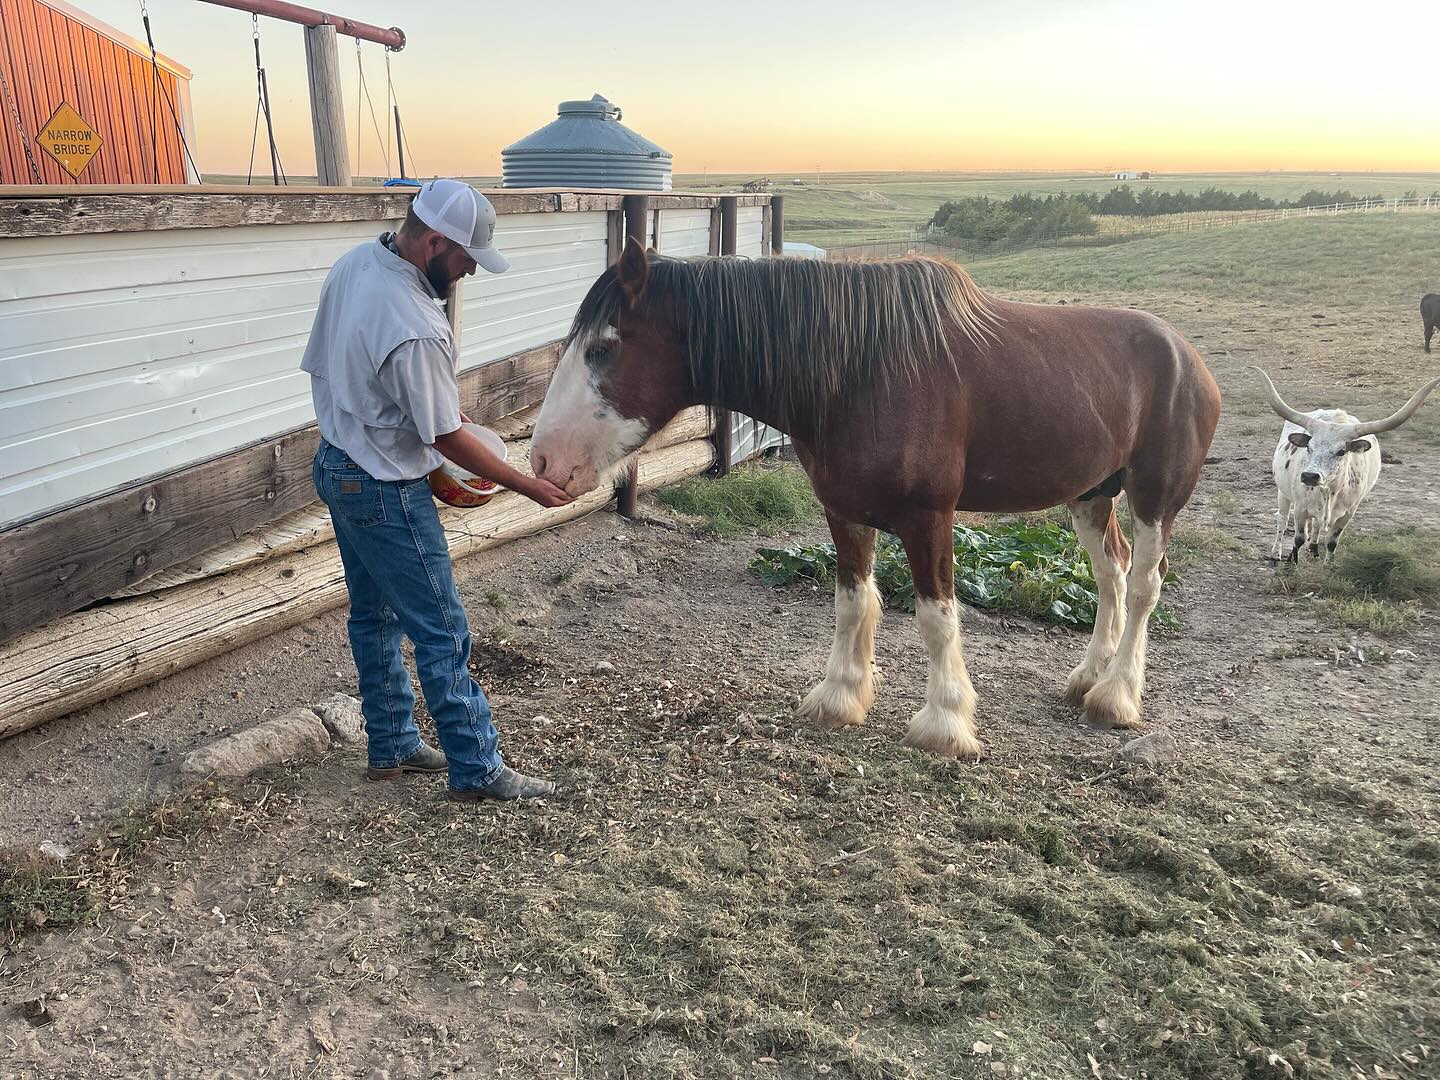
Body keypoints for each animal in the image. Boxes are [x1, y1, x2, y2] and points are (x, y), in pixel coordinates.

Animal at [530, 239, 1221, 759]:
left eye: (604, 346)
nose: (542, 461)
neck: (863, 374)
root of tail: (1188, 356)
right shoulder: (844, 512)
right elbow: (853, 603)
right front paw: (841, 696)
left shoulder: (929, 518)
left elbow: (937, 619)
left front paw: (944, 724)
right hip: (1090, 495)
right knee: (1112, 573)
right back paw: (1089, 676)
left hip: (1155, 497)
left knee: (1144, 585)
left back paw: (1117, 696)